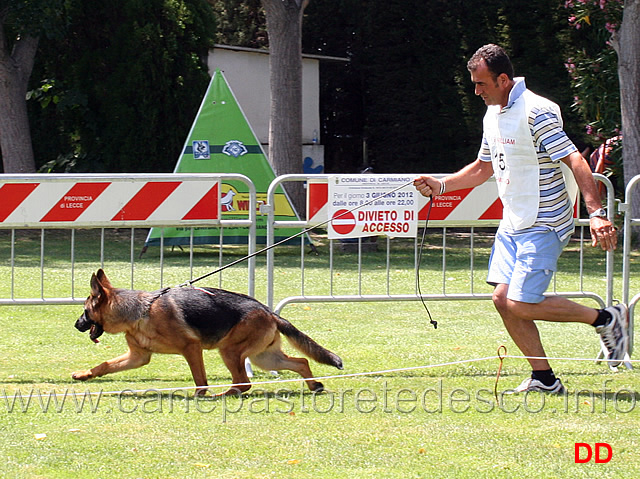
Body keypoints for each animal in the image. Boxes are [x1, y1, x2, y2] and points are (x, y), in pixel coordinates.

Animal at [74, 270, 344, 398]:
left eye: (85, 311)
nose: (76, 325)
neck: (140, 311)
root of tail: (268, 311)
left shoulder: (191, 349)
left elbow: (199, 379)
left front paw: (199, 395)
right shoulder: (138, 357)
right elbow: (104, 365)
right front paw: (84, 374)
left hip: (230, 351)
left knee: (243, 382)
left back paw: (223, 394)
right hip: (264, 358)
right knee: (301, 361)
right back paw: (314, 386)